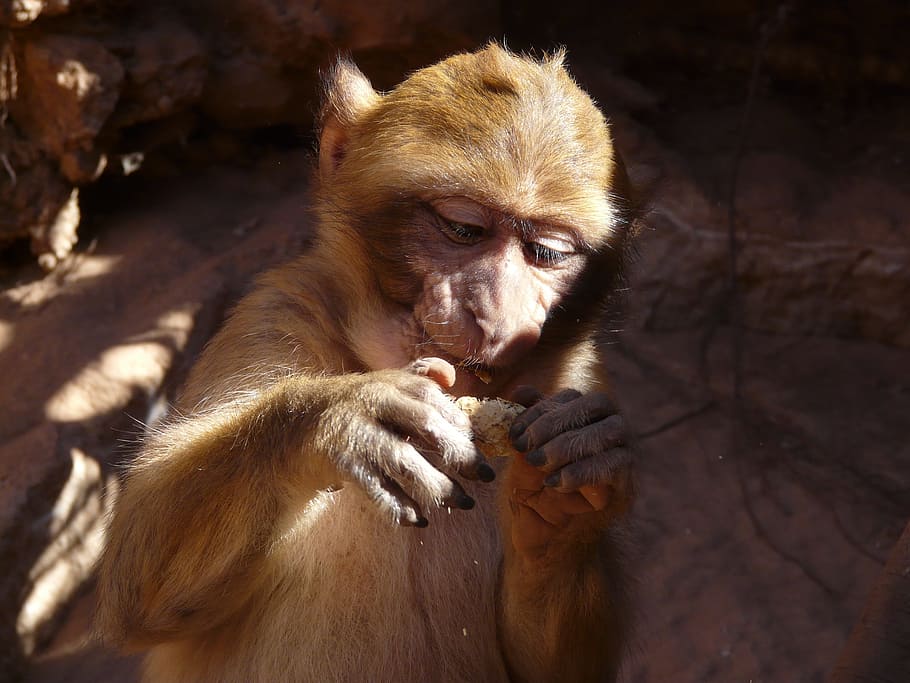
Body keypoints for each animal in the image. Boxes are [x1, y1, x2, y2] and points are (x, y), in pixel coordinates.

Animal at [96, 44, 638, 682]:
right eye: (464, 229)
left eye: (545, 253)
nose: (493, 313)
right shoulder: (279, 310)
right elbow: (136, 584)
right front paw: (342, 420)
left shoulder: (578, 376)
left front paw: (566, 502)